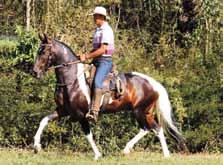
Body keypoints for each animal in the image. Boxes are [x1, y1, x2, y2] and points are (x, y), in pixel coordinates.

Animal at [32, 33, 186, 160]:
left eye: (44, 52)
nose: (34, 72)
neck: (72, 80)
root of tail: (154, 83)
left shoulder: (81, 115)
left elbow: (88, 135)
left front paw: (97, 155)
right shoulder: (63, 111)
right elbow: (43, 120)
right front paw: (36, 146)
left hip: (139, 111)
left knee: (148, 128)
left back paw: (130, 149)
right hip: (146, 112)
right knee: (156, 128)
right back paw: (163, 154)